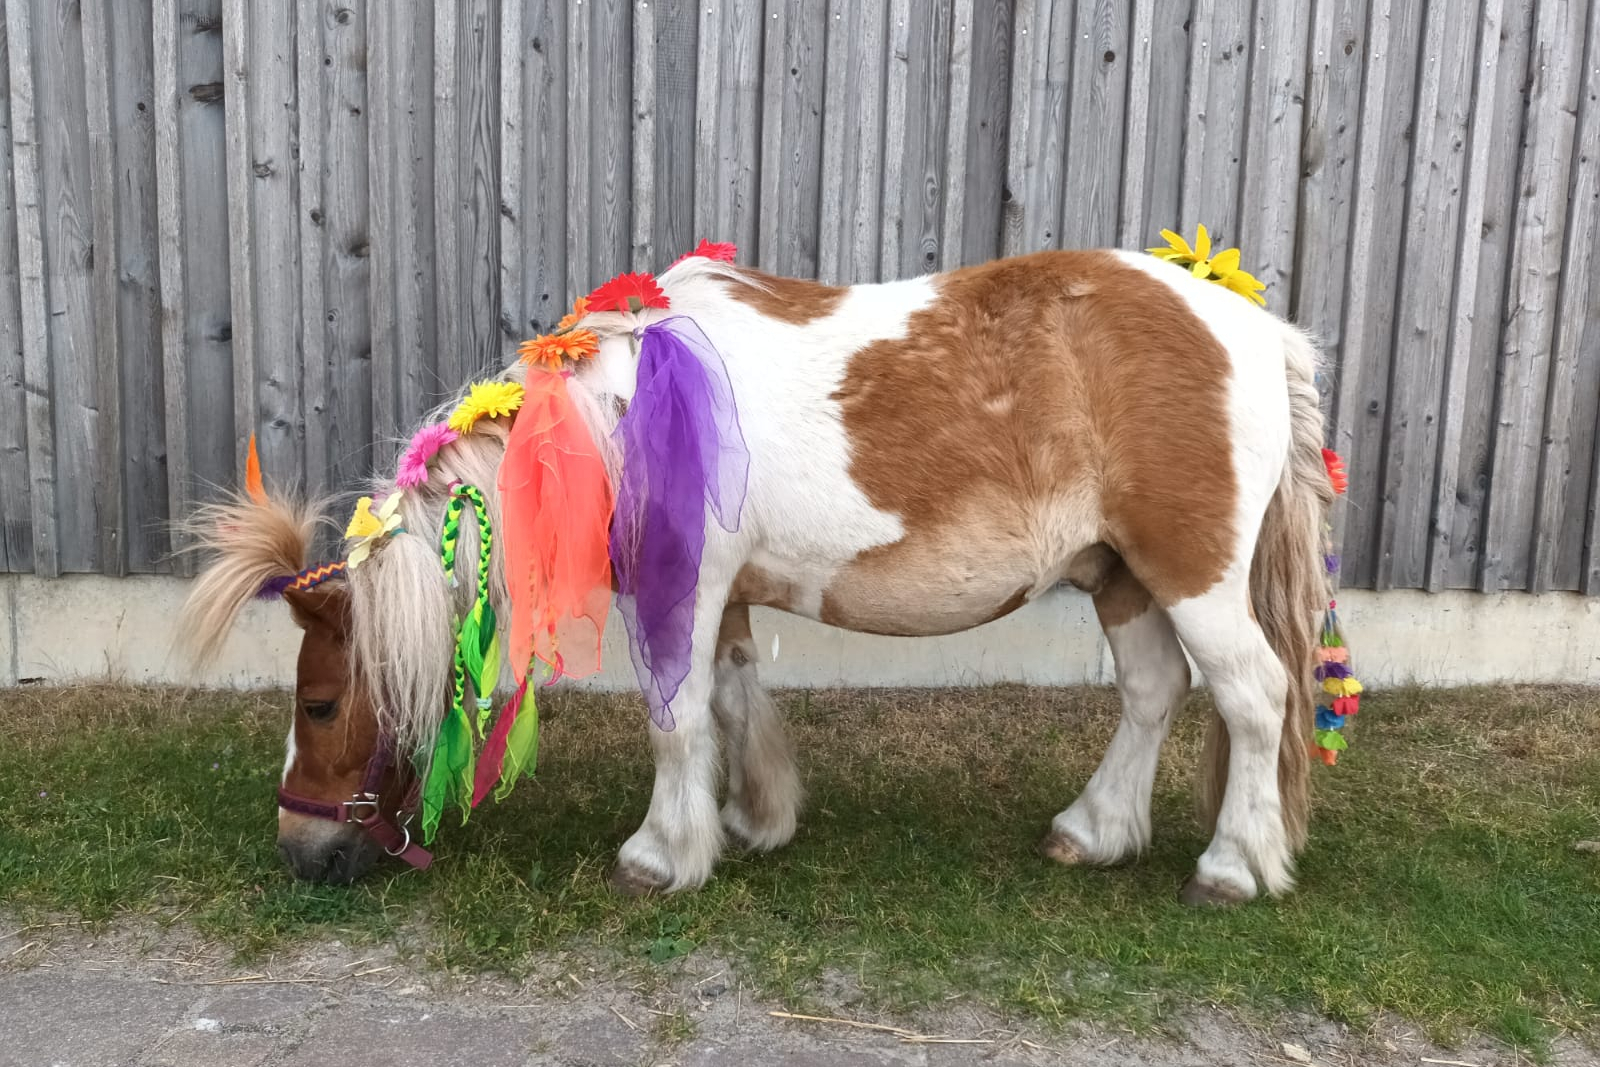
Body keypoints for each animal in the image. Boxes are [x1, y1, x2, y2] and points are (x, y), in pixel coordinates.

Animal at [179, 247, 1335, 904]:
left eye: (319, 703)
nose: (299, 851)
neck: (605, 415)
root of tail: (1251, 326)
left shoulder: (679, 585)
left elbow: (675, 716)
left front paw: (662, 854)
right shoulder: (722, 594)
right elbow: (731, 699)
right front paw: (752, 819)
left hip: (1190, 573)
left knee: (1253, 696)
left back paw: (1233, 866)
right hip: (1120, 573)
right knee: (1153, 690)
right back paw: (1094, 831)